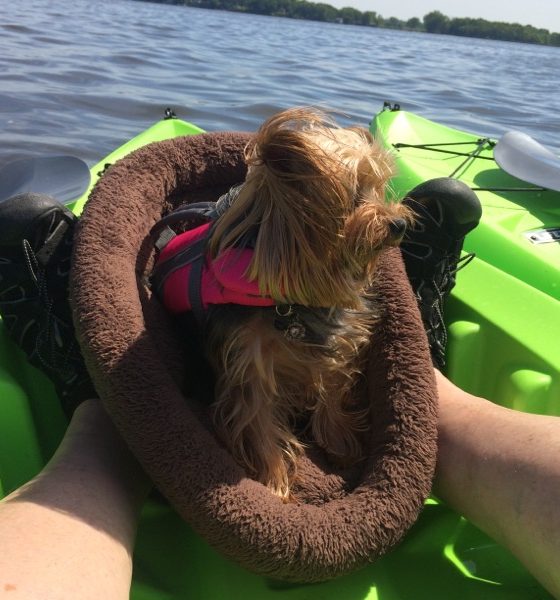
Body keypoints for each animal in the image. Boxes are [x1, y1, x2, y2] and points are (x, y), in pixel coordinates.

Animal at [152, 108, 411, 500]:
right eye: (352, 196)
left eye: (378, 188)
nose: (398, 223)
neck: (287, 305)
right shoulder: (249, 363)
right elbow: (258, 422)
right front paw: (275, 485)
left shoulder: (335, 341)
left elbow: (331, 385)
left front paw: (339, 442)